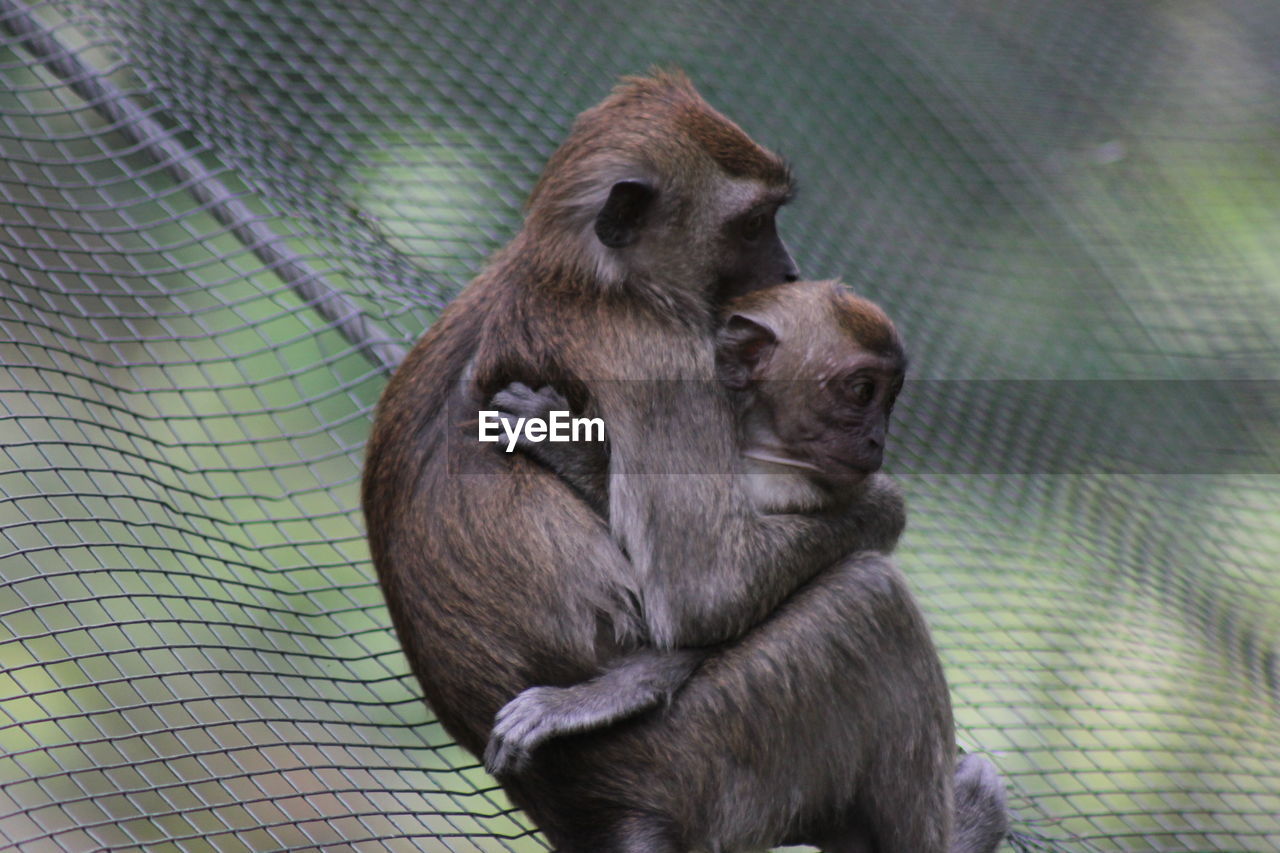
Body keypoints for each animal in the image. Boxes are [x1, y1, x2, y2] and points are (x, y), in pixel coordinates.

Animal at [366, 73, 1003, 850]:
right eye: (753, 224)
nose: (789, 268)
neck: (585, 277)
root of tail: (608, 816)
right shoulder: (658, 353)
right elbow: (708, 591)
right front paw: (884, 504)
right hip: (715, 754)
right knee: (869, 598)